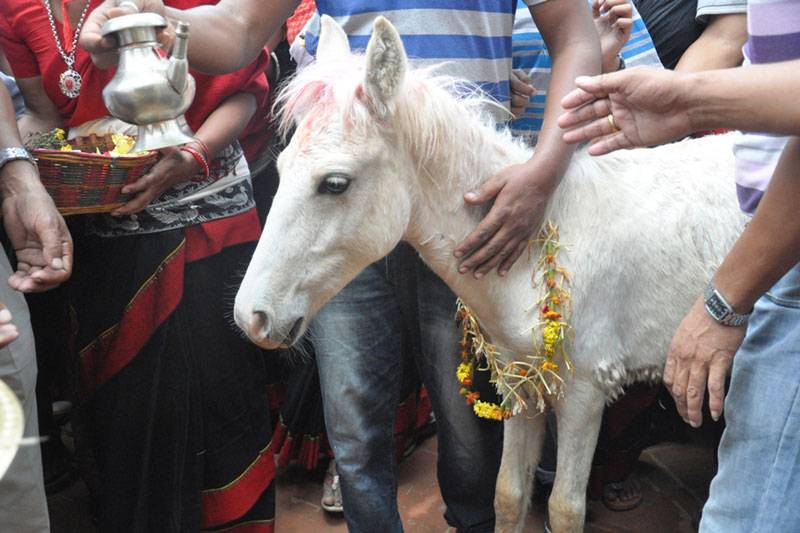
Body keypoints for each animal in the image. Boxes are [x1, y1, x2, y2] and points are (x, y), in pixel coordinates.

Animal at [234, 16, 748, 532]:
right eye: (281, 167)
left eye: (335, 184)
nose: (250, 318)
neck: (536, 247)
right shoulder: (521, 379)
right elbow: (508, 493)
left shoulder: (585, 392)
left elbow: (564, 508)